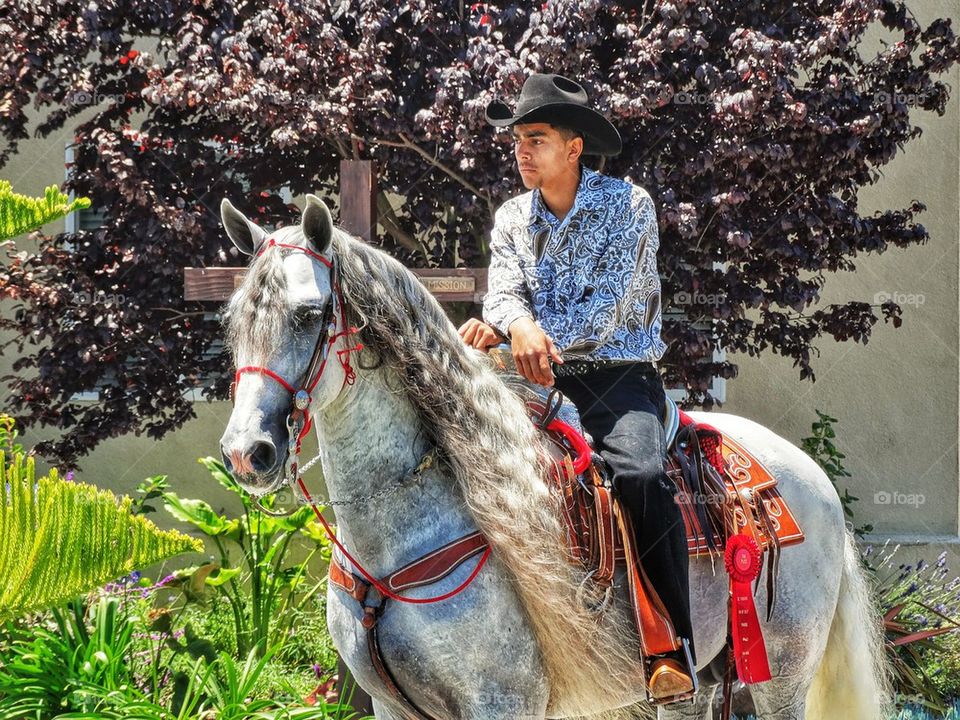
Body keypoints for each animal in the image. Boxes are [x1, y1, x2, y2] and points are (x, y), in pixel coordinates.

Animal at [218, 197, 892, 720]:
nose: (247, 452)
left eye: (308, 314)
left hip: (783, 670)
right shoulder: (390, 706)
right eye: (233, 320)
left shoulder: (499, 702)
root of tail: (807, 476)